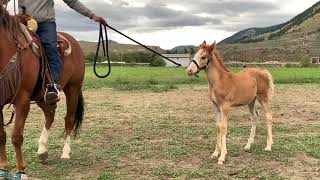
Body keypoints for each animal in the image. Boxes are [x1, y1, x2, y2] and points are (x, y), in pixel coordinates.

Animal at [0, 5, 84, 176]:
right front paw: (4, 166)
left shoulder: (23, 100)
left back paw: (65, 153)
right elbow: (1, 136)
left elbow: (16, 136)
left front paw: (21, 169)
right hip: (42, 96)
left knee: (69, 119)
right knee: (50, 115)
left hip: (73, 89)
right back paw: (42, 150)